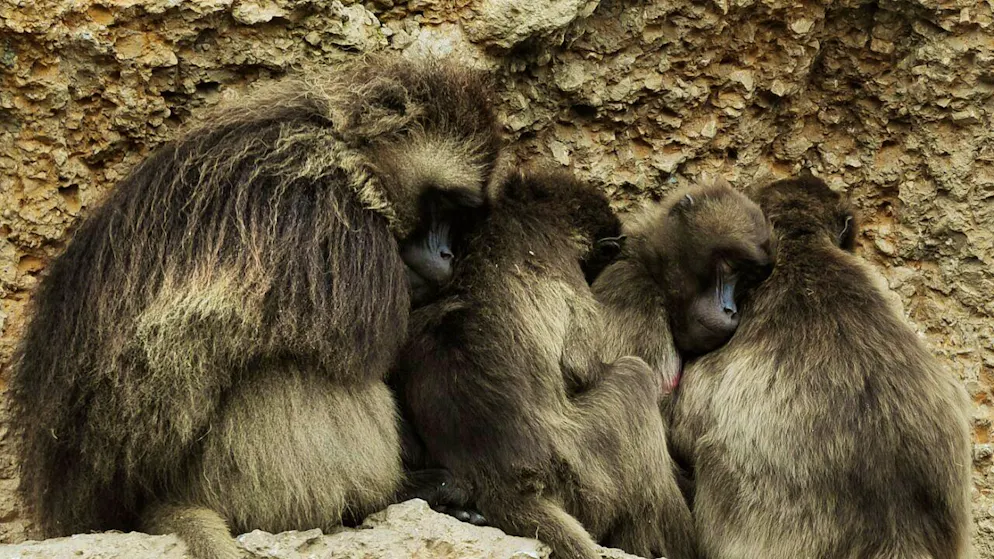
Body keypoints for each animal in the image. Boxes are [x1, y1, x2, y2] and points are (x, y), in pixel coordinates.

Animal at [9, 55, 503, 559]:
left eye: (458, 218)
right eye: (443, 205)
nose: (447, 254)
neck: (348, 158)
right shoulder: (325, 220)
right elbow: (358, 353)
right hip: (222, 483)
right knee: (295, 372)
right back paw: (395, 494)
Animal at [392, 168, 699, 559]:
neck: (529, 209)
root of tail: (505, 484)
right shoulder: (558, 257)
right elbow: (583, 365)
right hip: (585, 472)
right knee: (634, 377)